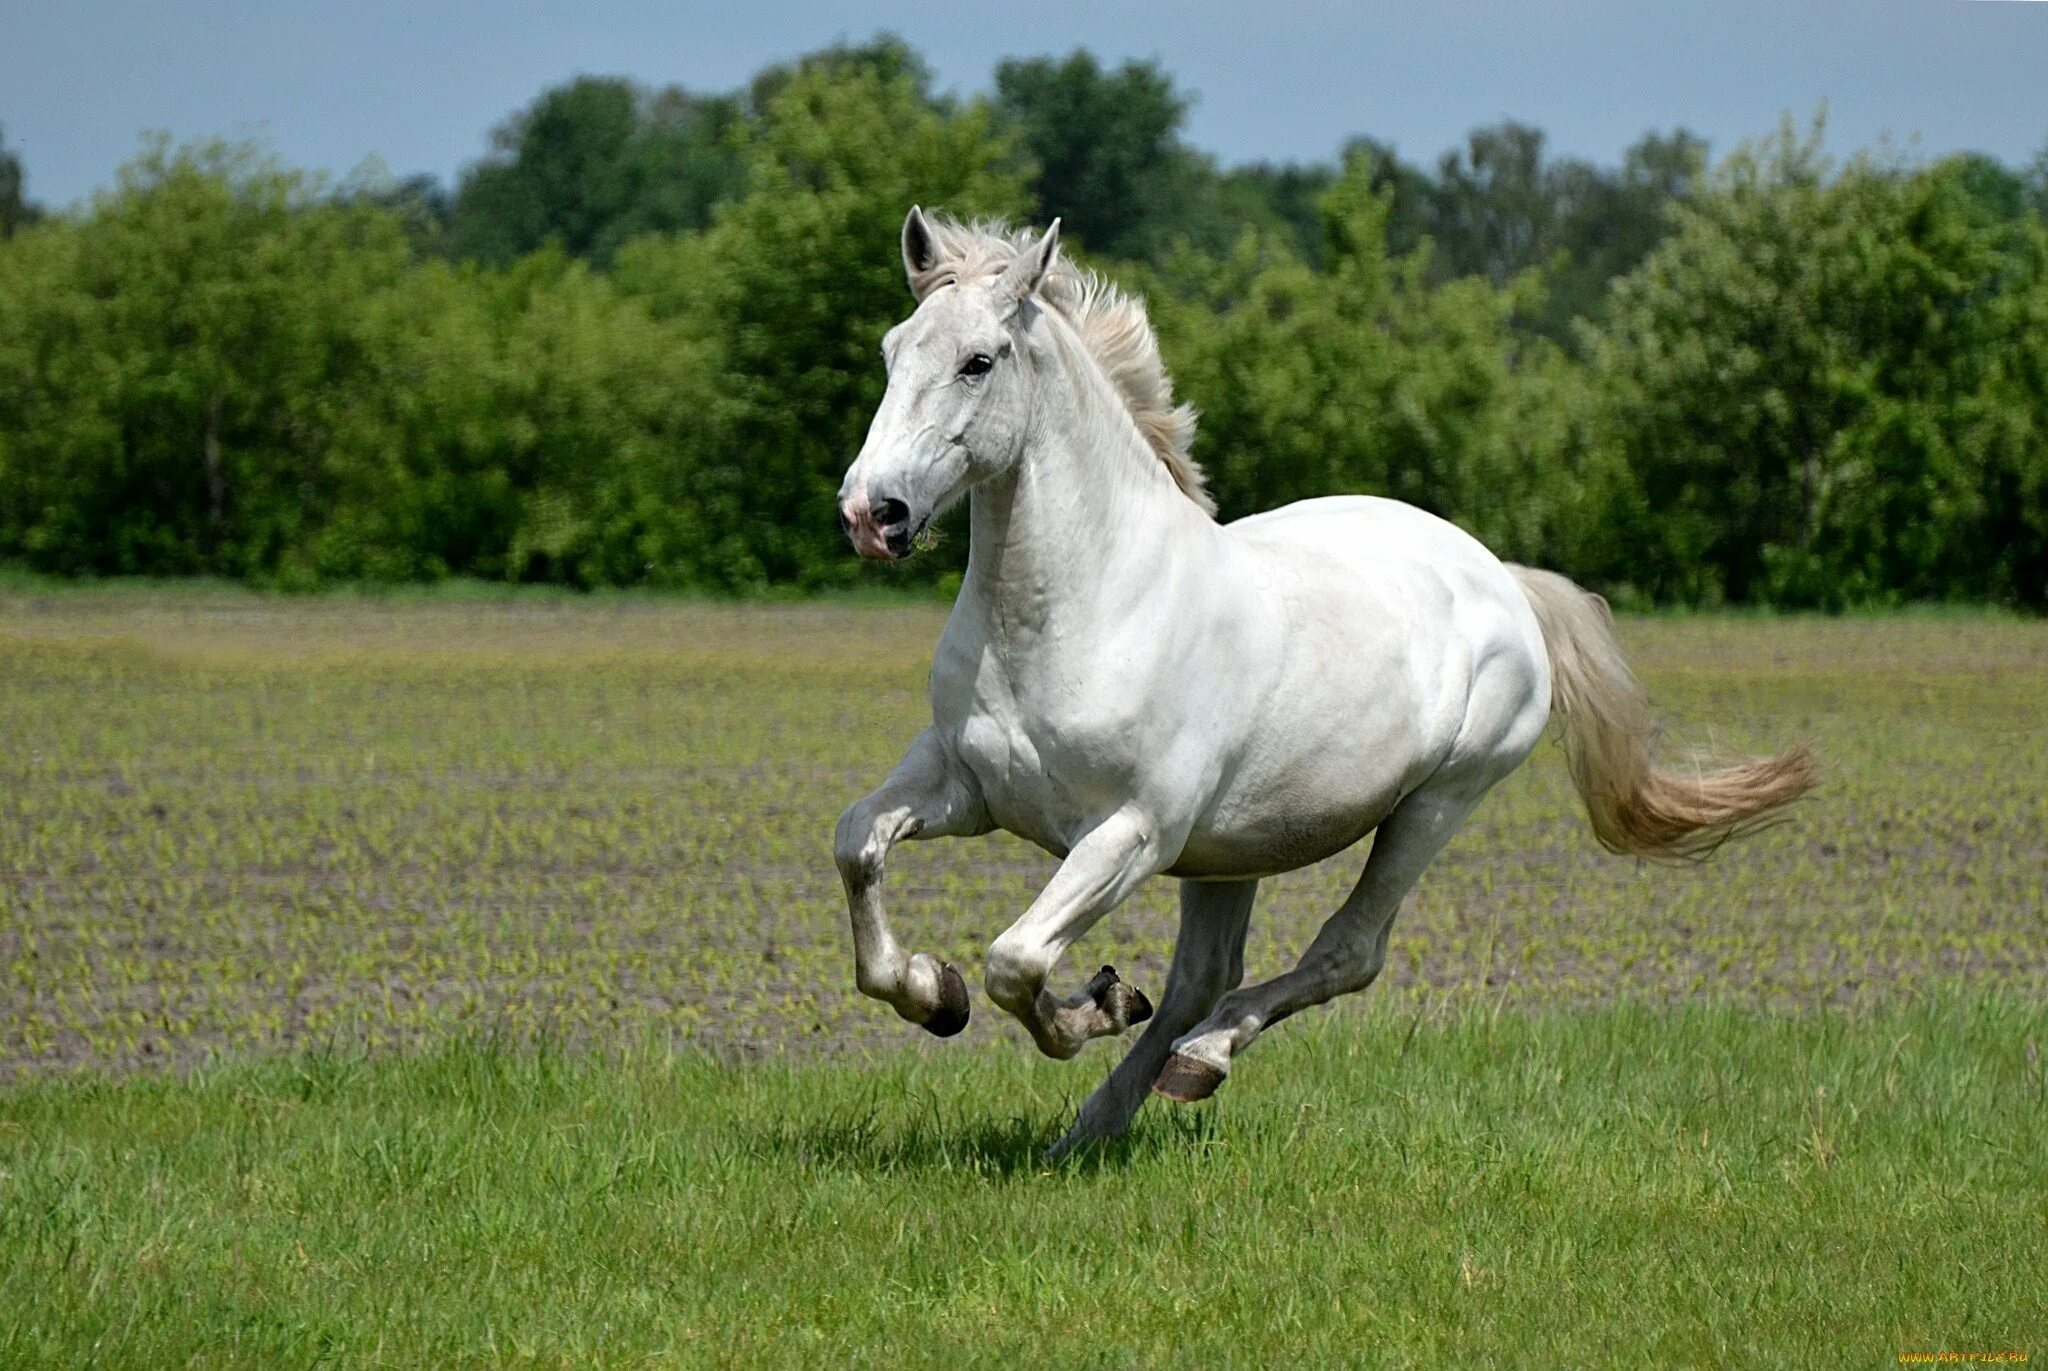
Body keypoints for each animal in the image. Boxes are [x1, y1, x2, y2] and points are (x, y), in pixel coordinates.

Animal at [831, 211, 1810, 1155]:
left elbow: (1017, 960)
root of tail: (1504, 577)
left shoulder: (1131, 830)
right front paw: (935, 992)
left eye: (978, 361)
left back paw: (1200, 1059)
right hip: (1229, 850)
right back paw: (1097, 1122)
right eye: (892, 349)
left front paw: (1090, 1004)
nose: (871, 513)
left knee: (1344, 954)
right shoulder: (967, 784)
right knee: (1201, 978)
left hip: (1434, 804)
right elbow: (858, 846)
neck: (1080, 608)